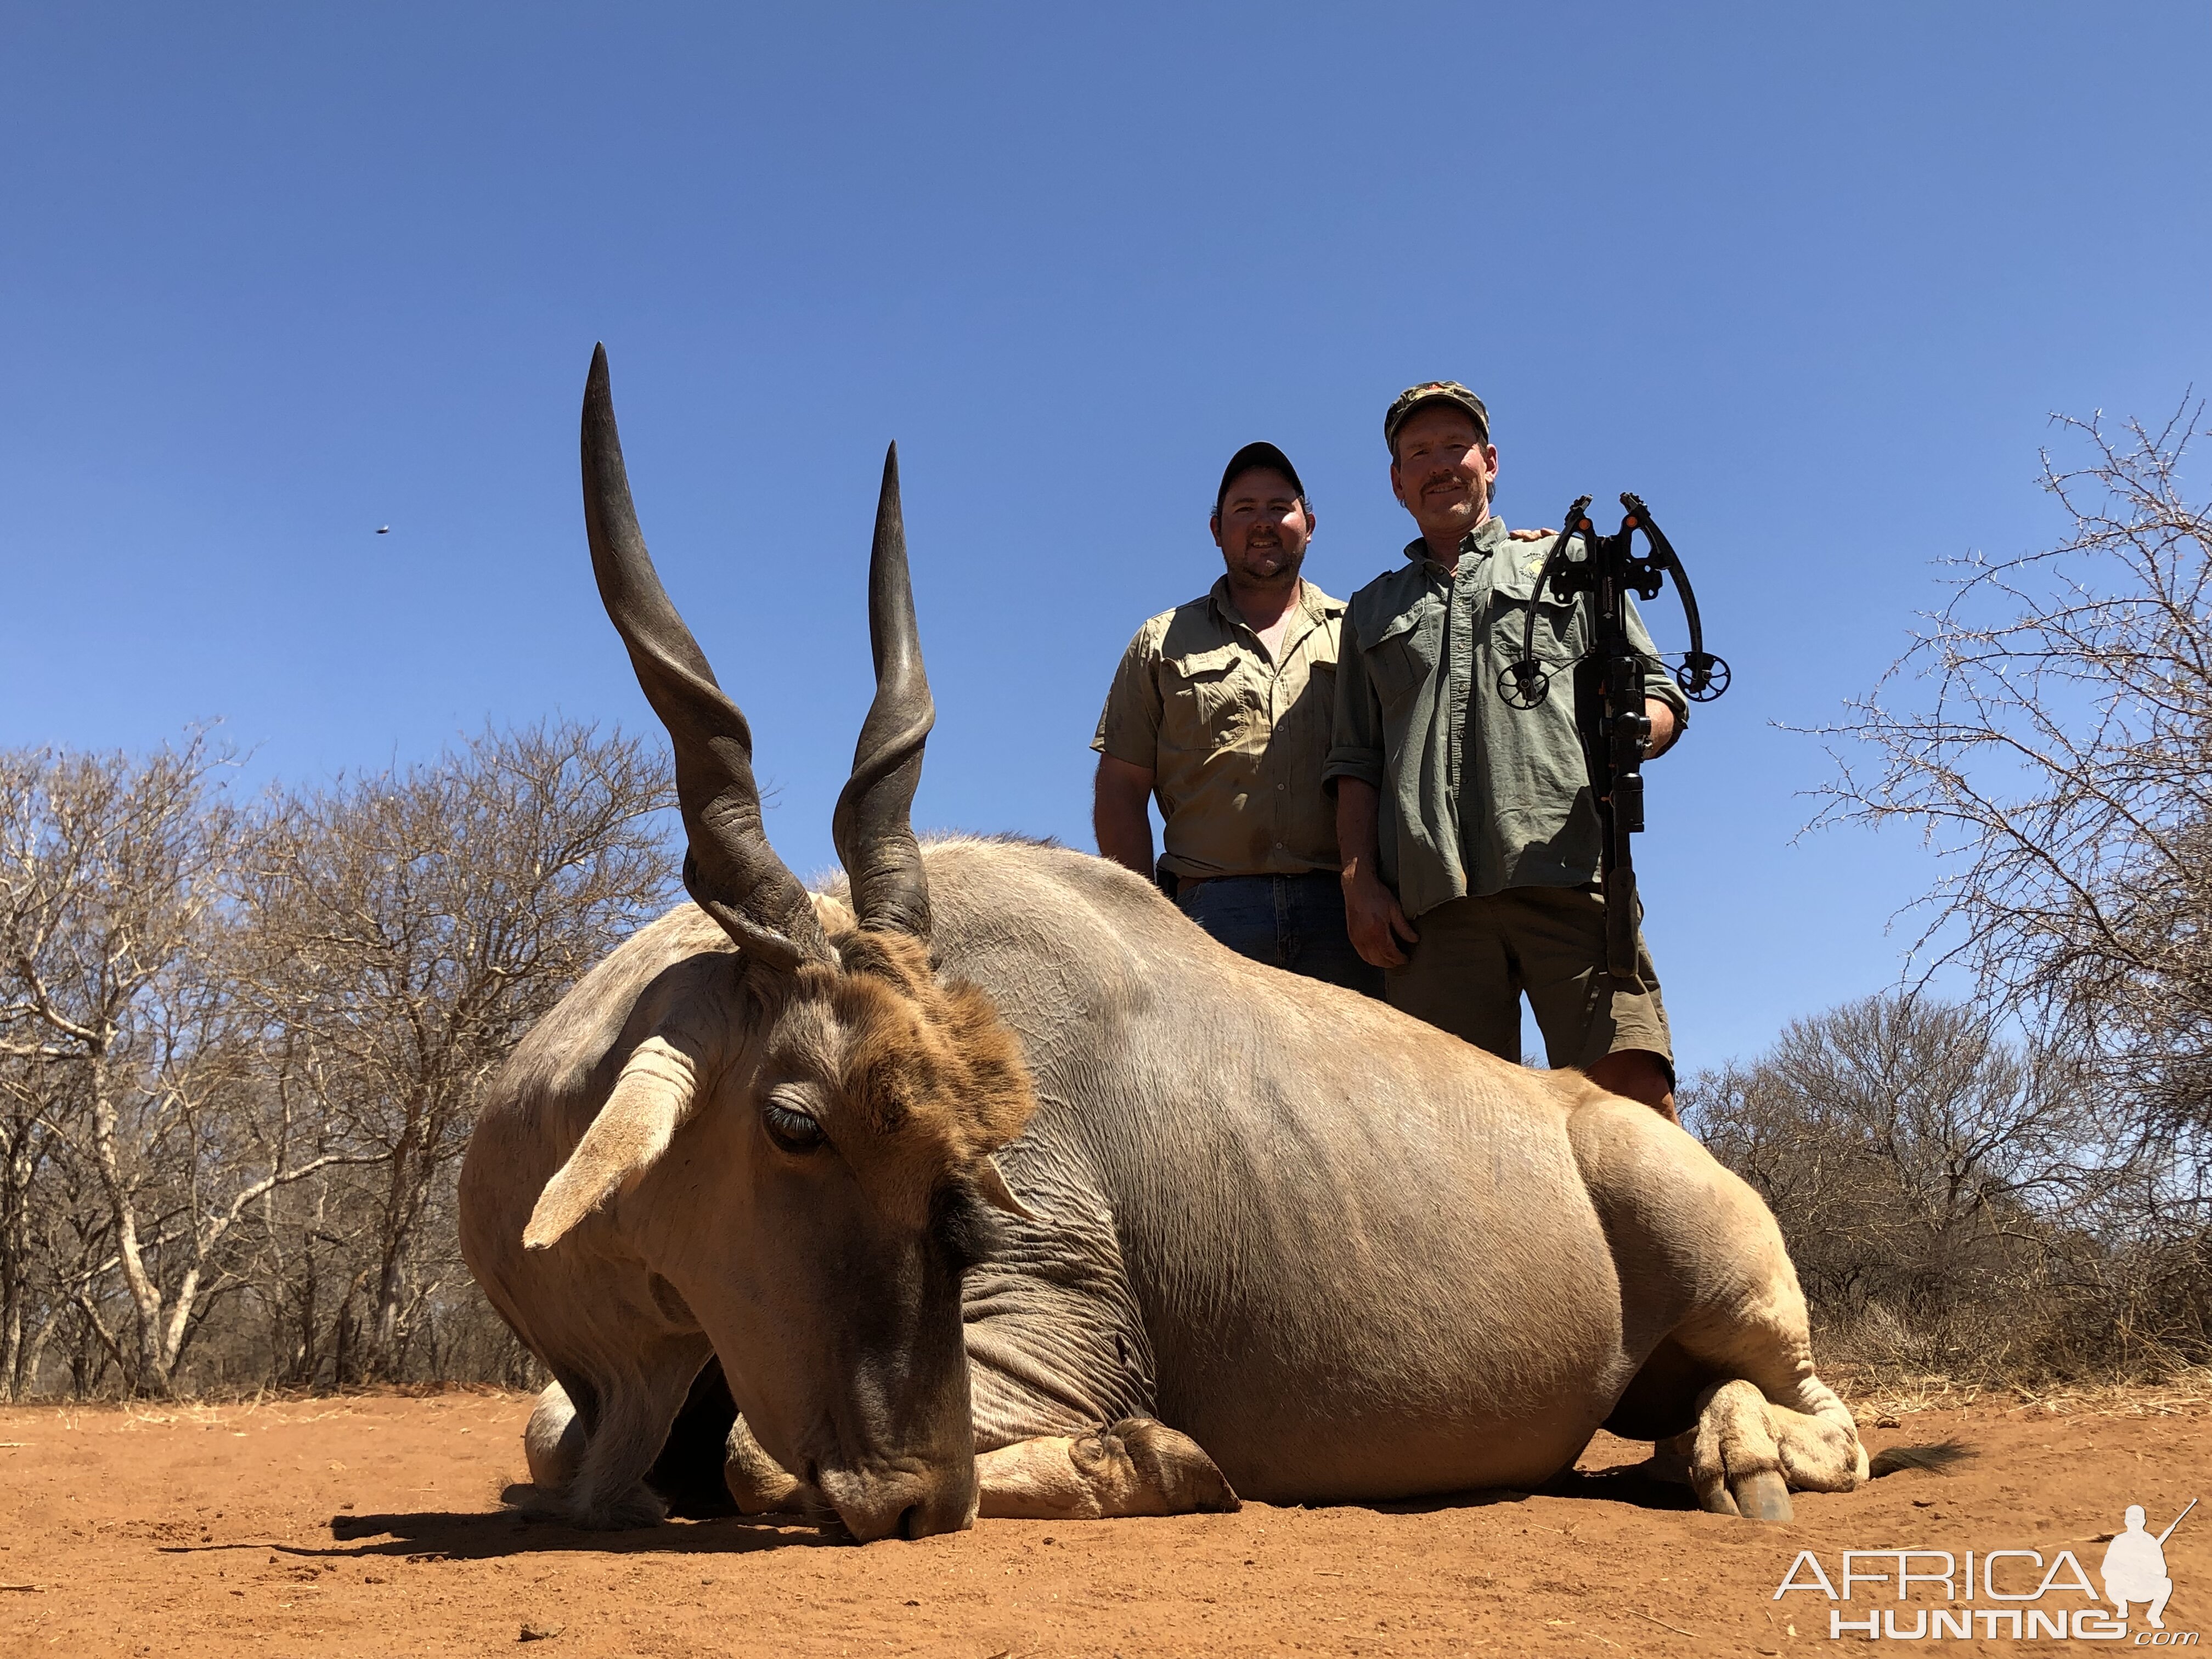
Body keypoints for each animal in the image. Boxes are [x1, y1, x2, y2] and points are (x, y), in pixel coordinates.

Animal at [462, 347, 1920, 1548]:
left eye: (958, 1165)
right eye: (793, 1123)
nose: (918, 1498)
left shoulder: (1054, 1330)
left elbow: (763, 1460)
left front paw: (1160, 1460)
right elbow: (554, 1442)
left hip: (1733, 1283)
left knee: (1828, 1418)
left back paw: (1728, 1456)